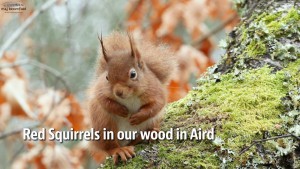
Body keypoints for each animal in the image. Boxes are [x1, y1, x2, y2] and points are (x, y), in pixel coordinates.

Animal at [87, 31, 176, 164]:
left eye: (133, 74)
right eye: (107, 77)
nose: (118, 92)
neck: (129, 97)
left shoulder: (155, 89)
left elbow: (157, 104)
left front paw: (138, 117)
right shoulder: (100, 89)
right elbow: (103, 101)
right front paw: (121, 110)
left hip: (152, 121)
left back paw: (149, 134)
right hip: (103, 124)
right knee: (110, 146)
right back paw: (120, 150)